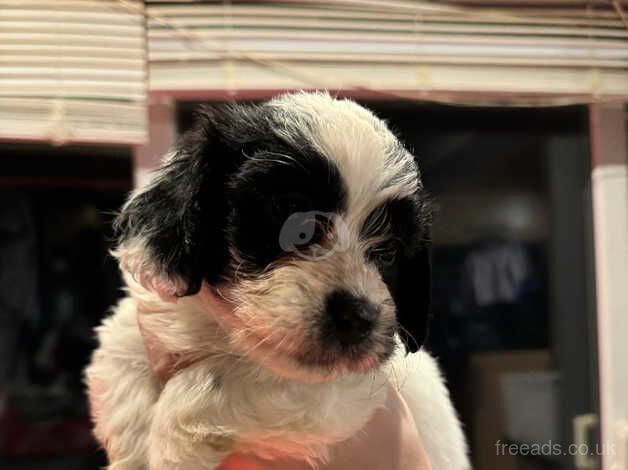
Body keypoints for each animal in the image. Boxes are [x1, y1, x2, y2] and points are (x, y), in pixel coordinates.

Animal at [84, 92, 466, 470]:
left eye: (388, 254)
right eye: (293, 220)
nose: (358, 317)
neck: (223, 332)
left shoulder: (333, 392)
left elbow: (216, 379)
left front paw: (171, 449)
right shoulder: (137, 333)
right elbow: (124, 368)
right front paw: (134, 451)